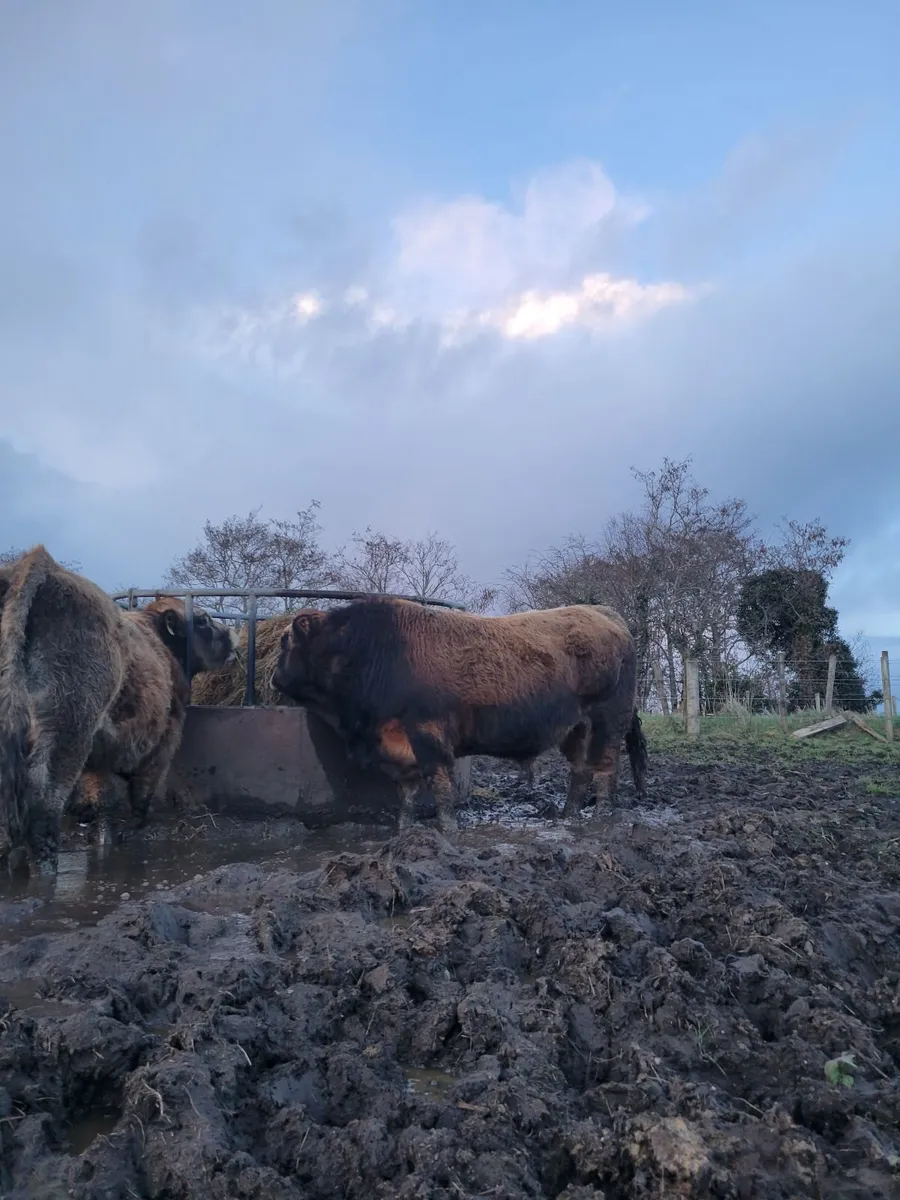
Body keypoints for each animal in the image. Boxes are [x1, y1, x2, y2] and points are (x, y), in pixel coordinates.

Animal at [0, 546, 237, 875]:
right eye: (202, 620)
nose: (232, 633)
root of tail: (40, 562)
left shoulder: (101, 757)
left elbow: (102, 801)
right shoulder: (165, 739)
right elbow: (140, 795)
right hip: (69, 724)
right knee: (43, 801)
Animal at [270, 597, 648, 833]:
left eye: (285, 642)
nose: (273, 677)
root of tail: (603, 612)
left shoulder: (427, 734)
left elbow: (440, 788)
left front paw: (447, 830)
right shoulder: (396, 747)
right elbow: (406, 795)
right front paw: (404, 831)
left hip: (607, 723)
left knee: (604, 772)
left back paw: (599, 819)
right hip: (576, 728)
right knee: (580, 772)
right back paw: (568, 817)